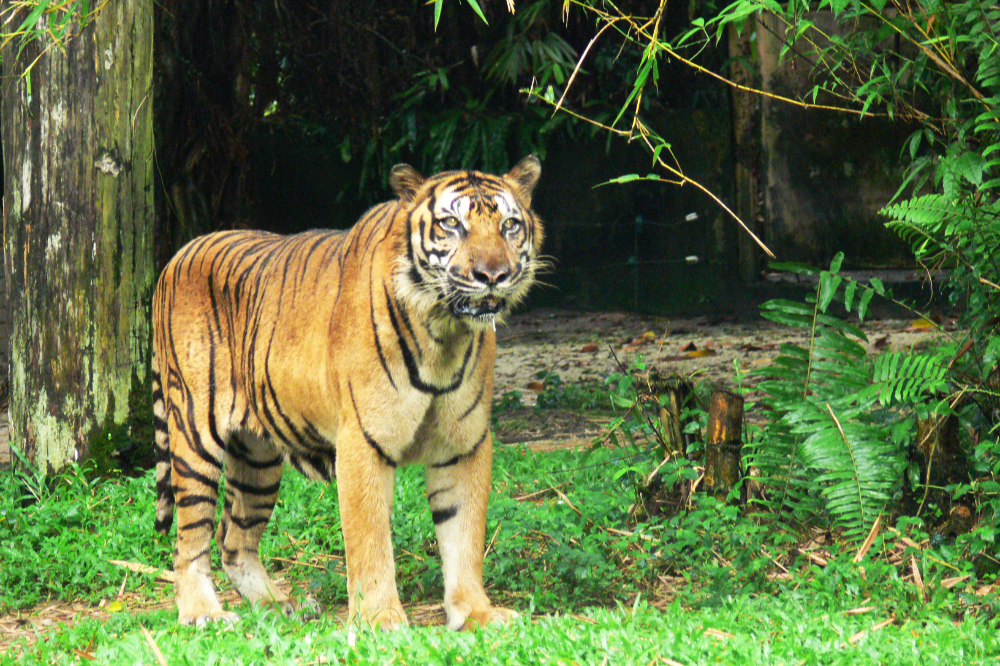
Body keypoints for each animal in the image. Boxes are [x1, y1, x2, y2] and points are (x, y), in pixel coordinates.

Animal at [151, 156, 543, 631]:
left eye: (509, 225)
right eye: (452, 224)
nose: (493, 275)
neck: (444, 331)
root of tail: (177, 256)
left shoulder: (464, 445)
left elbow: (464, 534)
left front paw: (476, 612)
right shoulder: (363, 439)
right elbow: (369, 537)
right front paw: (379, 619)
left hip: (257, 459)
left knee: (234, 540)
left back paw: (279, 606)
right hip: (195, 433)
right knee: (189, 538)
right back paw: (203, 613)